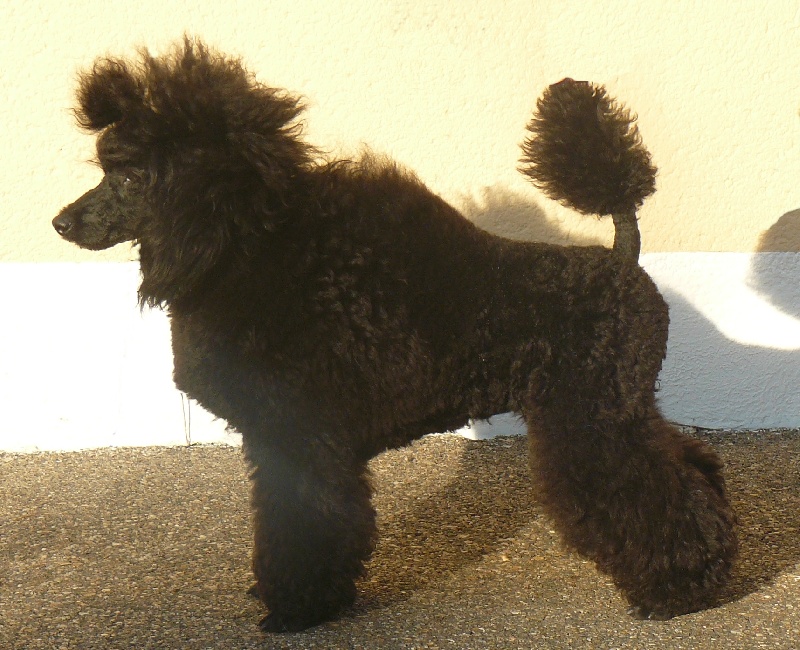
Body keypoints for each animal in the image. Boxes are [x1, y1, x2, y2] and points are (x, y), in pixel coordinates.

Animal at [53, 39, 737, 632]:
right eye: (106, 170)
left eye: (130, 177)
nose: (62, 221)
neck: (243, 253)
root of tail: (623, 256)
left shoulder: (300, 437)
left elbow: (303, 528)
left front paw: (296, 609)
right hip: (620, 404)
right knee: (692, 465)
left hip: (592, 412)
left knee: (651, 491)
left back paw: (679, 590)